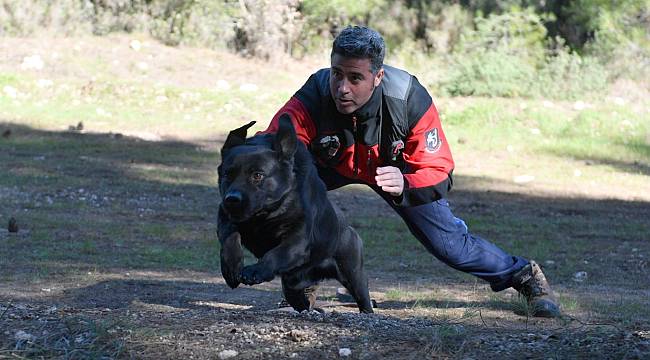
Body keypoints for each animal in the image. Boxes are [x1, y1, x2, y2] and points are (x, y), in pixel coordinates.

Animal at [216, 114, 372, 312]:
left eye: (257, 175)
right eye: (227, 174)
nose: (232, 199)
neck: (265, 215)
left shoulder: (297, 240)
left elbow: (274, 254)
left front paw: (255, 270)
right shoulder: (224, 216)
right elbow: (230, 237)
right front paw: (231, 267)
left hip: (353, 273)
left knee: (362, 297)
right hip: (293, 282)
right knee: (297, 297)